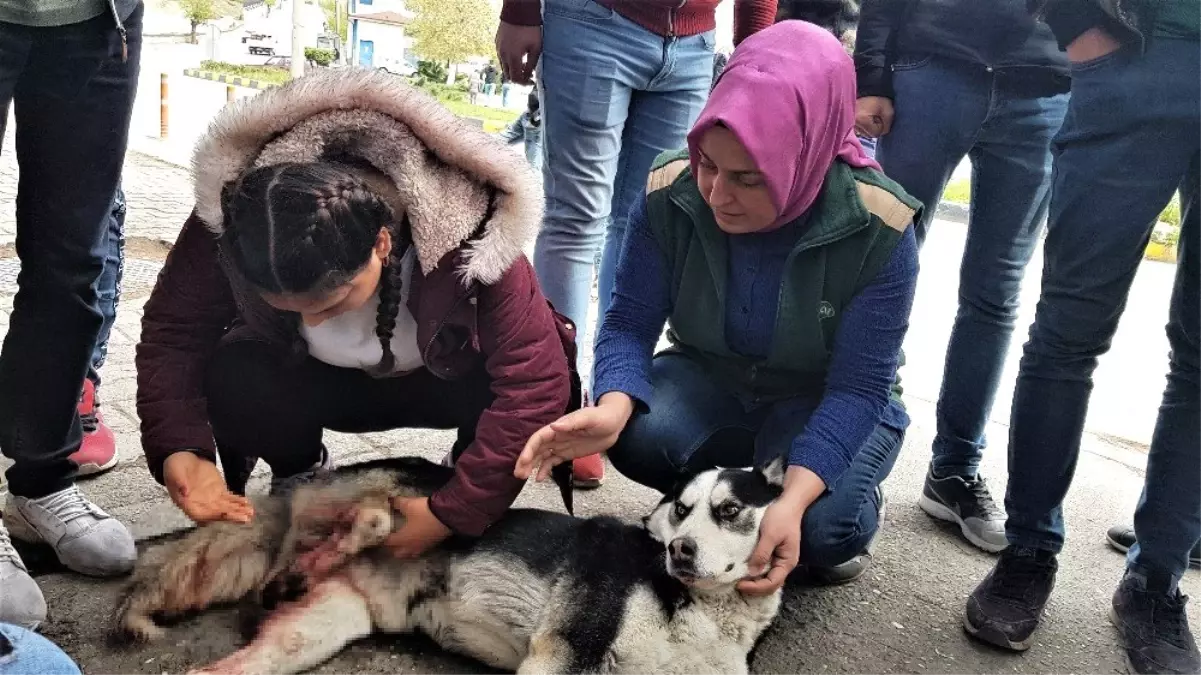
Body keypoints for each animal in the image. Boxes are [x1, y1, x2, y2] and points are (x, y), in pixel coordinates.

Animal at [114, 454, 787, 667]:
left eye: (729, 511)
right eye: (682, 509)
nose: (679, 551)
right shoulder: (563, 651)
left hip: (315, 632)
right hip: (412, 498)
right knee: (373, 517)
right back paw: (313, 556)